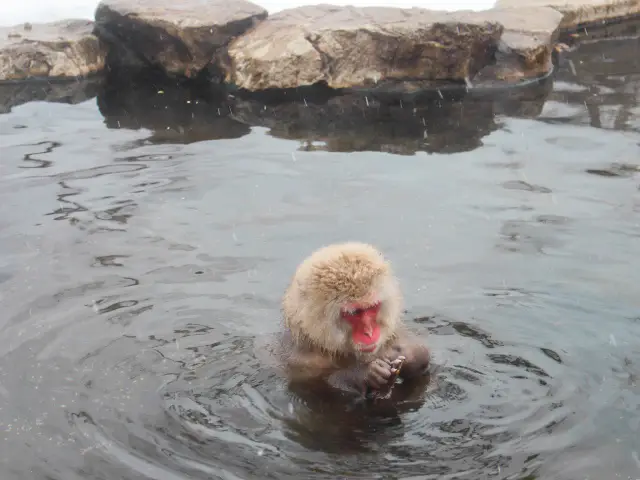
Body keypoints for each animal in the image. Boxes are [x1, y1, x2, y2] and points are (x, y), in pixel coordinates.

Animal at [280, 242, 430, 396]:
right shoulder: (303, 363)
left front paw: (407, 355)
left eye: (371, 307)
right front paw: (365, 374)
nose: (369, 333)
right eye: (354, 312)